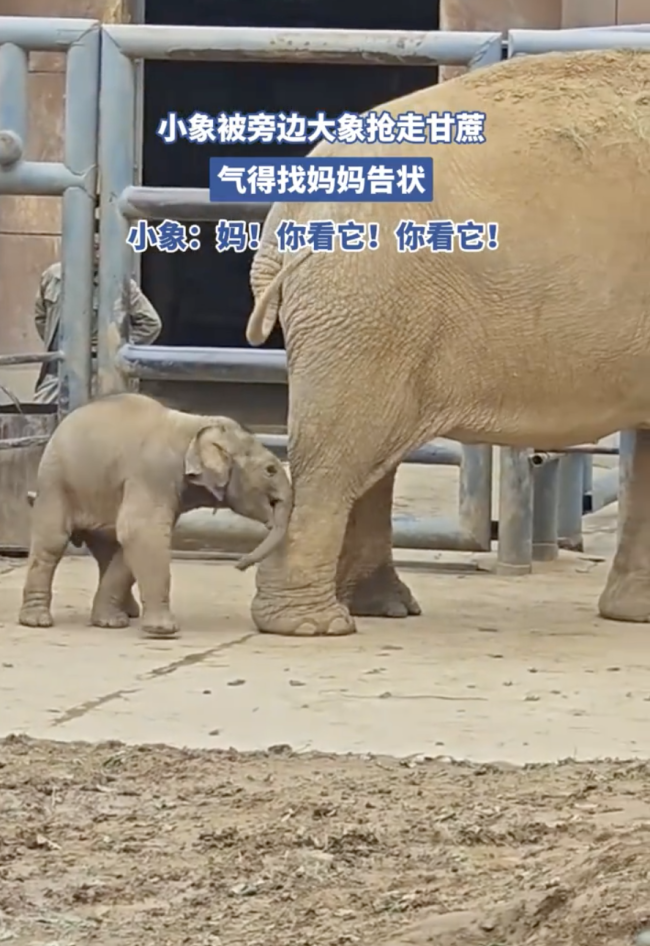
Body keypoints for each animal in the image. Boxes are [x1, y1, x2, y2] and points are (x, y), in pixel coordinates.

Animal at [18, 393, 292, 638]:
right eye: (270, 470)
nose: (239, 564)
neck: (196, 426)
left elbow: (133, 542)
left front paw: (110, 623)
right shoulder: (152, 474)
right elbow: (140, 533)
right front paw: (163, 631)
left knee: (107, 546)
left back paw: (126, 614)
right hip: (55, 481)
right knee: (52, 542)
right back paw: (37, 621)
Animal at [243, 47, 650, 637]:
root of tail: (288, 217)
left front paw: (631, 615)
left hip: (363, 317)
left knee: (370, 459)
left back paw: (379, 607)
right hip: (367, 304)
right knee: (337, 455)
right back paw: (315, 626)